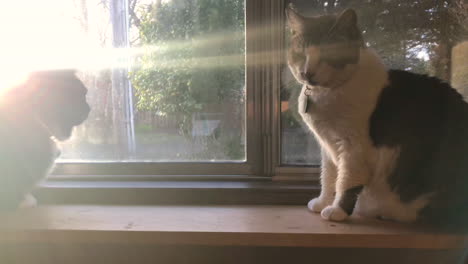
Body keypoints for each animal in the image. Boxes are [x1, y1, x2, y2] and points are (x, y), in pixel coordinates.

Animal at [286, 5, 468, 230]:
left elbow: (346, 181)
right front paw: (322, 202)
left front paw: (337, 211)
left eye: (329, 53)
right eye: (301, 52)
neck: (327, 93)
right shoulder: (327, 147)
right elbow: (328, 177)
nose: (307, 72)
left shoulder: (354, 148)